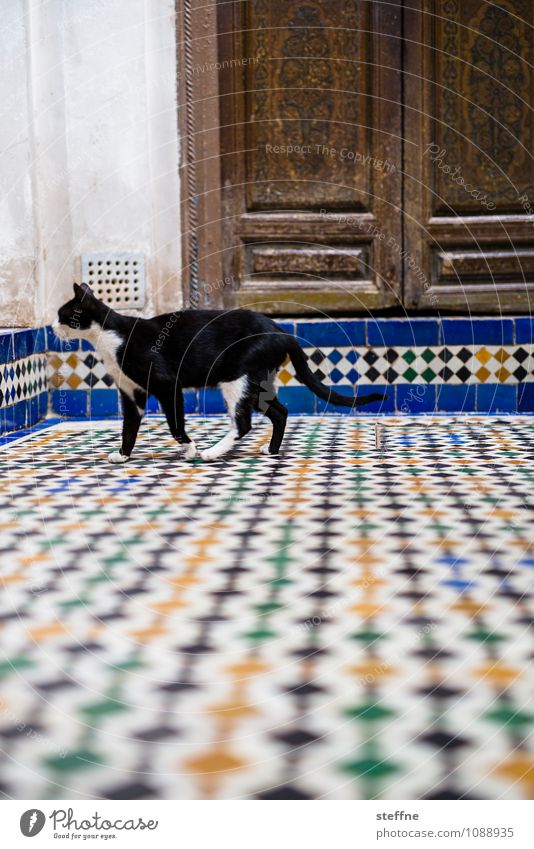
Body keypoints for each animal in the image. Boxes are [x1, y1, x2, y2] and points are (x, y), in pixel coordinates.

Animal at [54, 288, 388, 464]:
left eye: (63, 315)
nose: (53, 327)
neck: (110, 339)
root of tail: (282, 332)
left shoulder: (167, 384)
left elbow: (175, 424)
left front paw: (190, 449)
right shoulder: (131, 394)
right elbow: (129, 428)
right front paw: (123, 455)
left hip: (236, 378)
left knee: (243, 423)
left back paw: (213, 452)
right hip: (258, 382)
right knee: (280, 412)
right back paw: (271, 450)